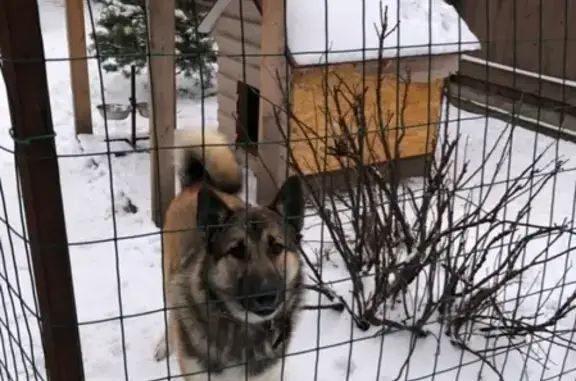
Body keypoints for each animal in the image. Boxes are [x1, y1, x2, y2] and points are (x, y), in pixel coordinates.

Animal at [152, 128, 306, 380]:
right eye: (237, 250)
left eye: (276, 247)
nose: (267, 295)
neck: (243, 327)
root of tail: (198, 182)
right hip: (169, 278)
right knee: (172, 313)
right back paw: (166, 344)